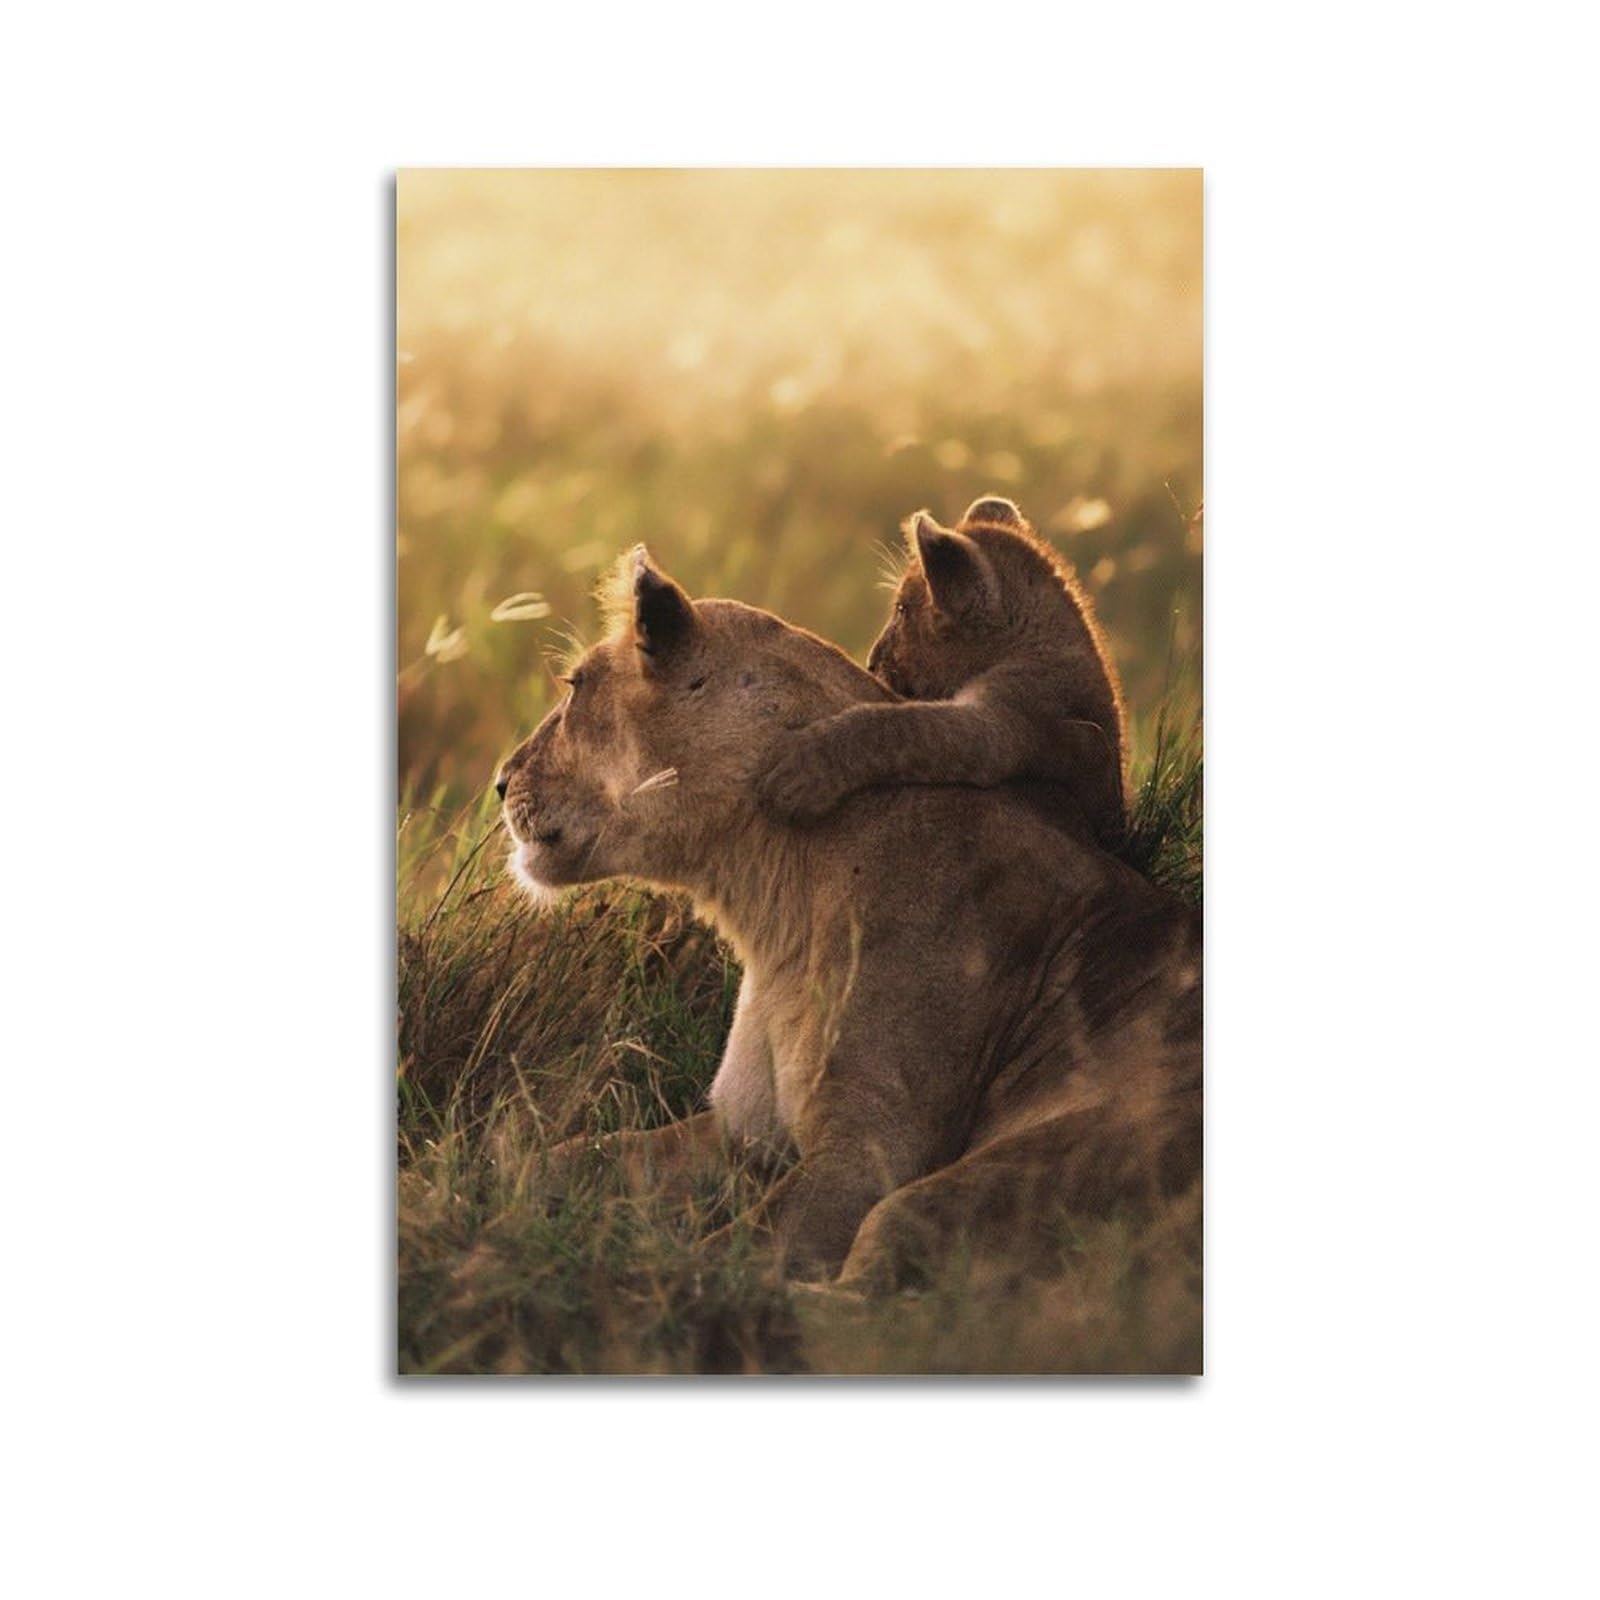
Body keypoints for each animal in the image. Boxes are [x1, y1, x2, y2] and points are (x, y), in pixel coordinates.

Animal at [497, 546, 1199, 1290]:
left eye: (575, 686)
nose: (500, 781)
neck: (769, 899)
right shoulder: (741, 1130)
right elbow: (573, 1155)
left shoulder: (870, 1151)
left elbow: (726, 1256)